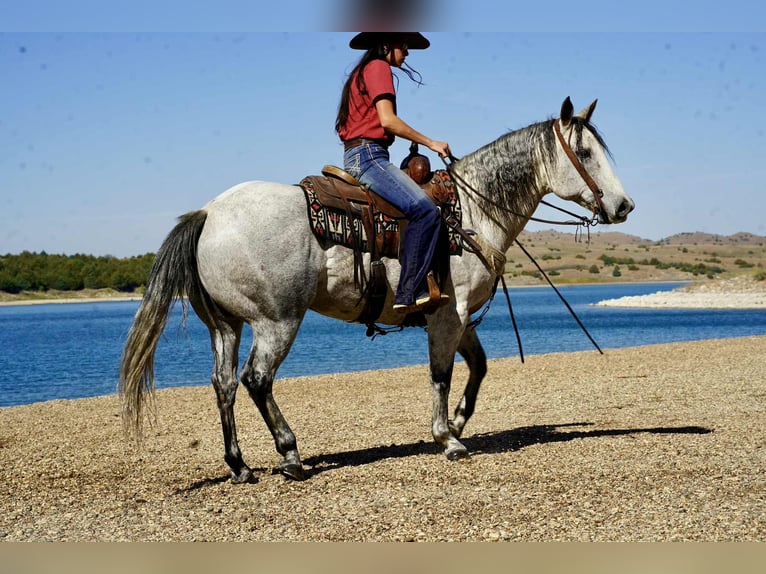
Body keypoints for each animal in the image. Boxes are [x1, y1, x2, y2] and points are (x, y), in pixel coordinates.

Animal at [119, 97, 634, 483]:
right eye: (585, 153)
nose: (624, 205)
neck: (472, 211)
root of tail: (209, 213)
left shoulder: (456, 316)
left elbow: (479, 367)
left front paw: (459, 422)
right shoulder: (447, 315)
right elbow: (441, 374)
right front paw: (447, 438)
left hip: (225, 324)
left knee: (223, 384)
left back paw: (239, 466)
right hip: (276, 320)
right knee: (257, 379)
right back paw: (290, 455)